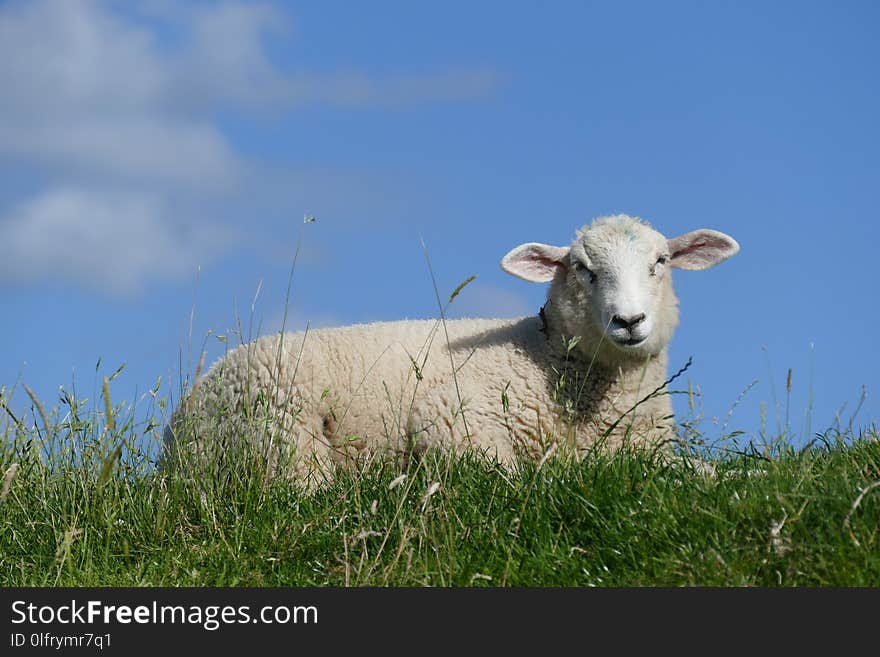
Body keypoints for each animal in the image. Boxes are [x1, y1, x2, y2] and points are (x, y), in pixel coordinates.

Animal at [163, 214, 736, 482]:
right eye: (582, 268)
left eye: (661, 262)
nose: (629, 321)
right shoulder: (451, 415)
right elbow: (511, 472)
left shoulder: (650, 449)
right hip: (279, 427)